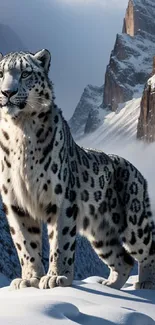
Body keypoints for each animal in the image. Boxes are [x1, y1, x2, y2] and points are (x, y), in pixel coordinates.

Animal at [0, 48, 154, 288]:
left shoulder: (61, 198)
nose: (7, 92)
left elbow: (60, 242)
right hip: (101, 232)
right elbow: (25, 245)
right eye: (0, 73)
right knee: (123, 260)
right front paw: (30, 279)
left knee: (148, 251)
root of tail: (138, 172)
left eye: (25, 73)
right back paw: (110, 285)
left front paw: (55, 278)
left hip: (135, 222)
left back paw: (145, 284)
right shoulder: (15, 203)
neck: (20, 129)